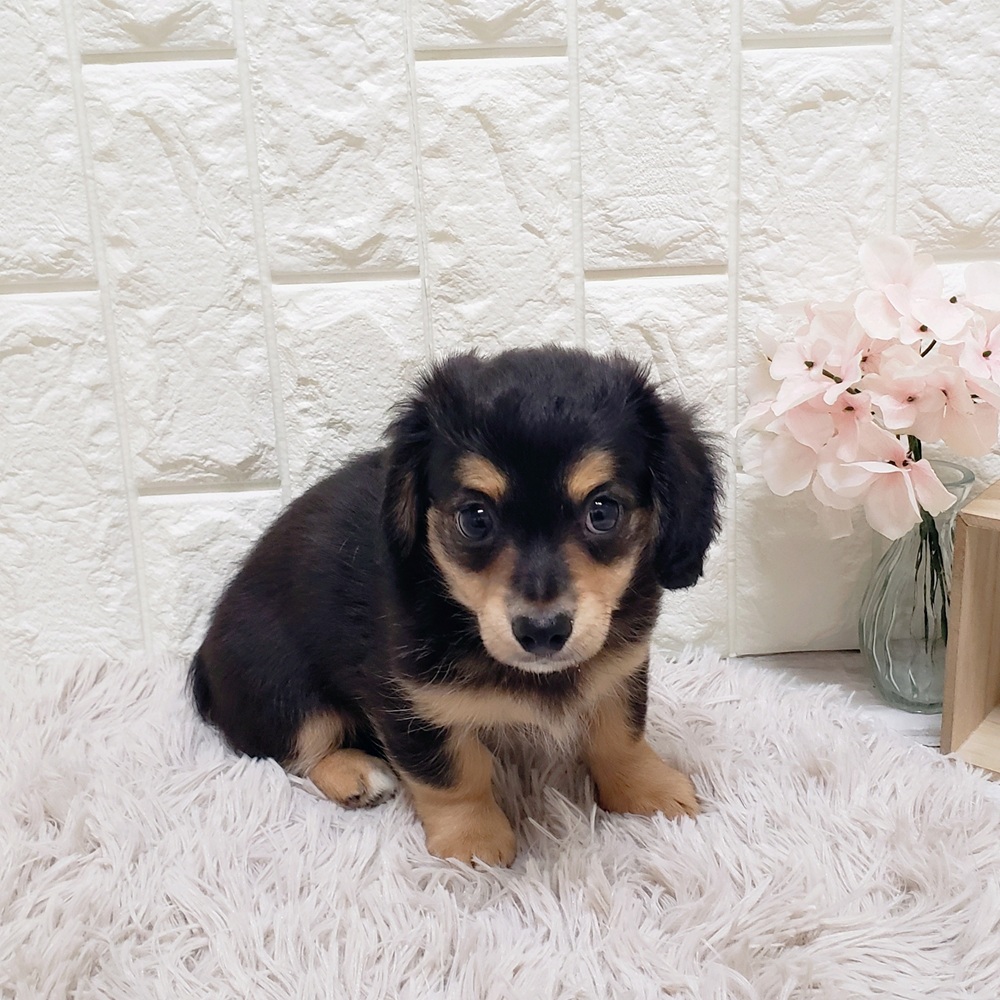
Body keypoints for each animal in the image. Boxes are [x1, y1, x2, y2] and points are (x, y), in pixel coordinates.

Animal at [189, 347, 720, 865]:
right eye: (475, 517)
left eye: (603, 511)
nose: (542, 632)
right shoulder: (412, 703)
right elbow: (454, 775)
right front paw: (474, 842)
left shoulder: (619, 671)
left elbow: (620, 737)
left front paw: (646, 789)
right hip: (281, 687)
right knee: (298, 747)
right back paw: (355, 773)